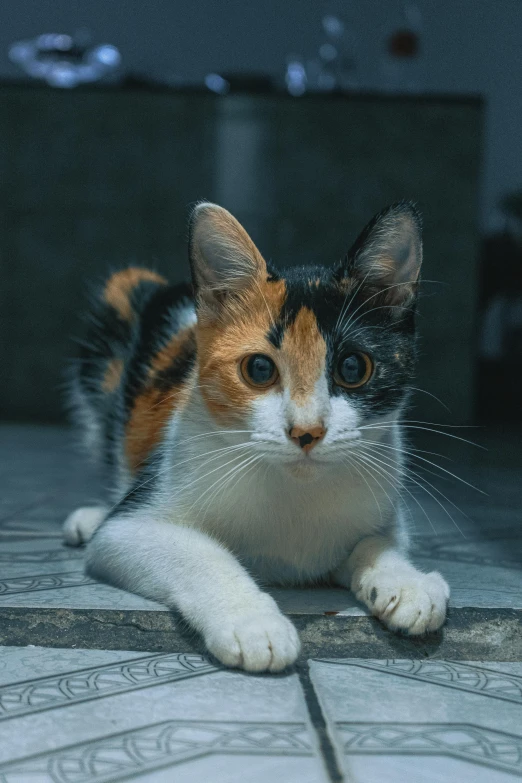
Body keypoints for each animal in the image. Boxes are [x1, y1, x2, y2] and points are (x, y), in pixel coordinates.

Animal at [64, 202, 446, 672]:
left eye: (353, 368)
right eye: (260, 369)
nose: (307, 431)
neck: (294, 491)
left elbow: (381, 540)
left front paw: (408, 583)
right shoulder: (130, 529)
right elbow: (196, 552)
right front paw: (253, 624)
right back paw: (92, 515)